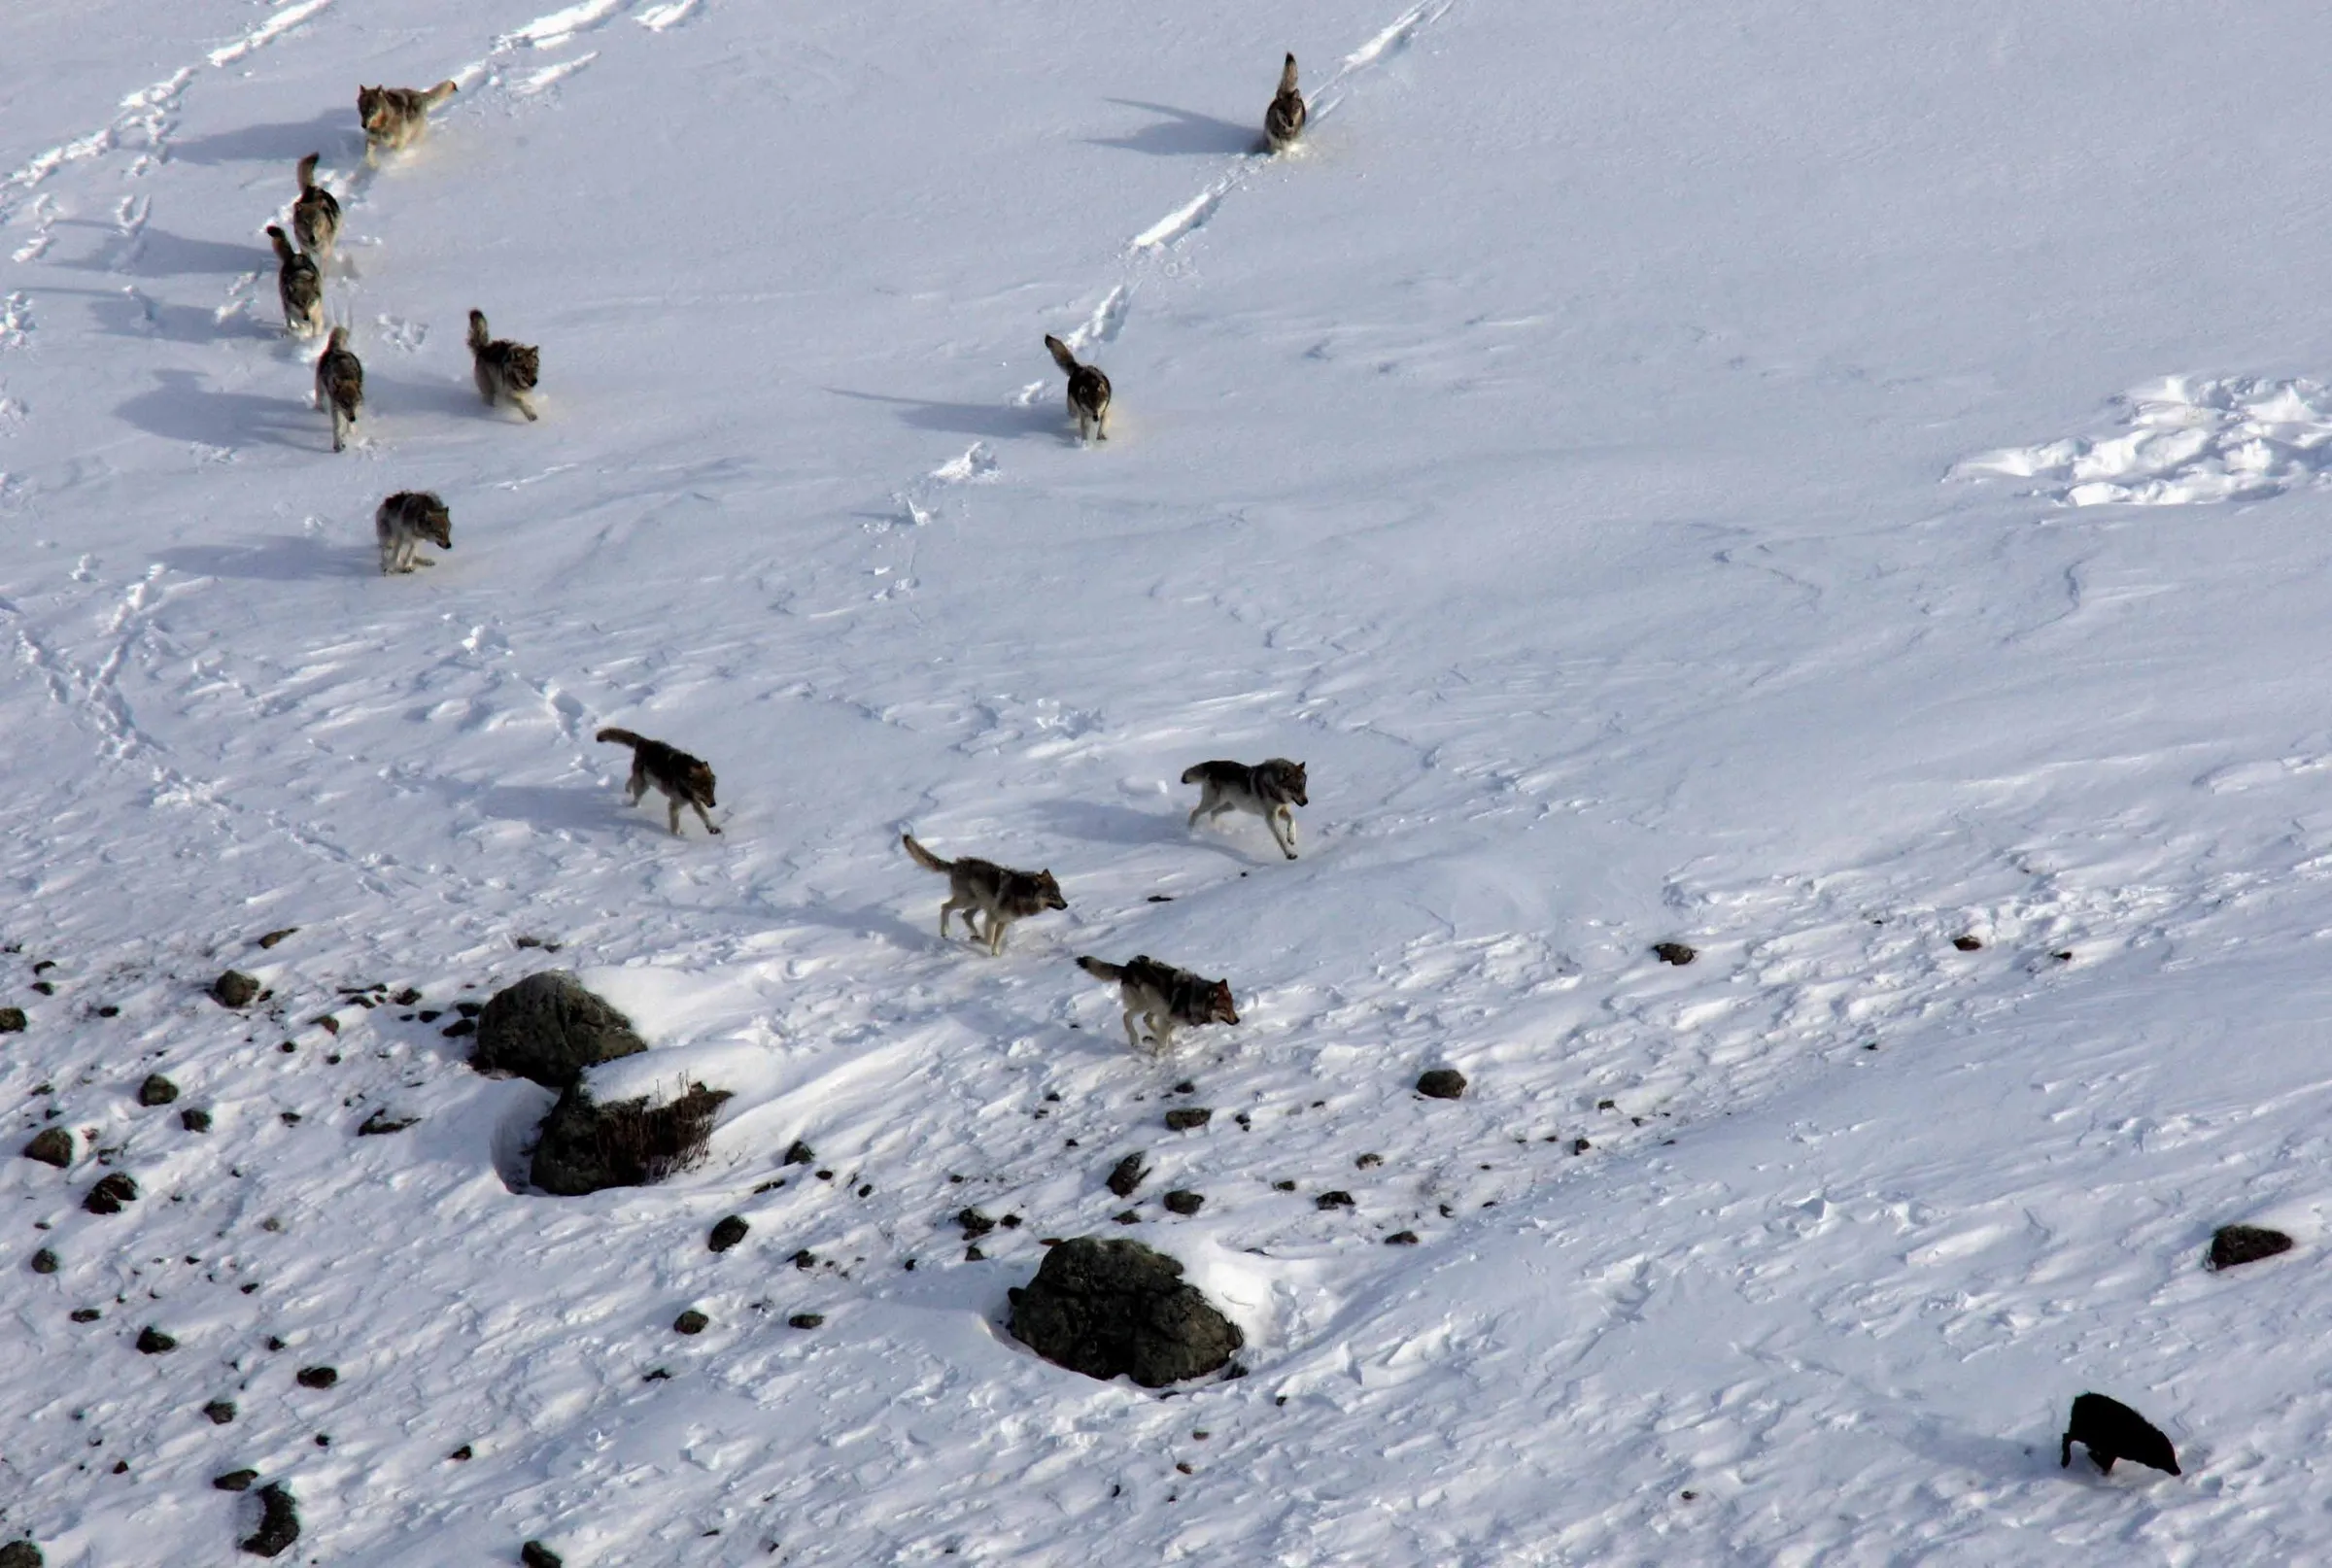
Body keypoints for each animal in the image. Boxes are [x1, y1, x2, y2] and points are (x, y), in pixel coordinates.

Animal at [314, 326, 363, 452]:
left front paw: (349, 434)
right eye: (344, 403)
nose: (353, 419)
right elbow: (337, 427)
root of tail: (336, 349)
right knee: (318, 400)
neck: (345, 376)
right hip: (320, 388)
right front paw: (338, 444)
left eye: (355, 402)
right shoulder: (336, 408)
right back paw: (320, 410)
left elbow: (347, 427)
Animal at [901, 835, 1066, 955]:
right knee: (945, 907)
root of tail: (955, 865)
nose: (1066, 905)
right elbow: (989, 940)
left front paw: (995, 955)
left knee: (965, 916)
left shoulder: (1002, 921)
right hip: (967, 901)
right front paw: (978, 941)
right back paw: (946, 933)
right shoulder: (992, 917)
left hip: (978, 904)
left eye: (1059, 893)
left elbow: (995, 941)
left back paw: (974, 933)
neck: (1022, 894)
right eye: (1052, 895)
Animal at [1076, 955, 1238, 1054]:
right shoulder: (1168, 1018)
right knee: (1127, 1016)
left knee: (1146, 1019)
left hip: (1156, 1005)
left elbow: (1164, 1035)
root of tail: (1129, 965)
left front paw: (1157, 1042)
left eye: (1232, 1006)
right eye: (1224, 1008)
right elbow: (1163, 1040)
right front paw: (1156, 1048)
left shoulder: (1170, 1019)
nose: (1237, 1020)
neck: (1194, 998)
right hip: (1145, 1004)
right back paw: (1135, 1039)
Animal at [1182, 758, 1308, 859]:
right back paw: (1189, 831)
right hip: (1213, 803)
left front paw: (1291, 838)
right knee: (1195, 812)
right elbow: (1280, 838)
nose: (1306, 802)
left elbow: (1292, 819)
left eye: (1303, 786)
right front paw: (1290, 854)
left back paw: (1215, 830)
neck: (1272, 786)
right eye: (1294, 788)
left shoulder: (1281, 810)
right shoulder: (1270, 817)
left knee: (1213, 813)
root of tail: (1214, 764)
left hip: (1231, 806)